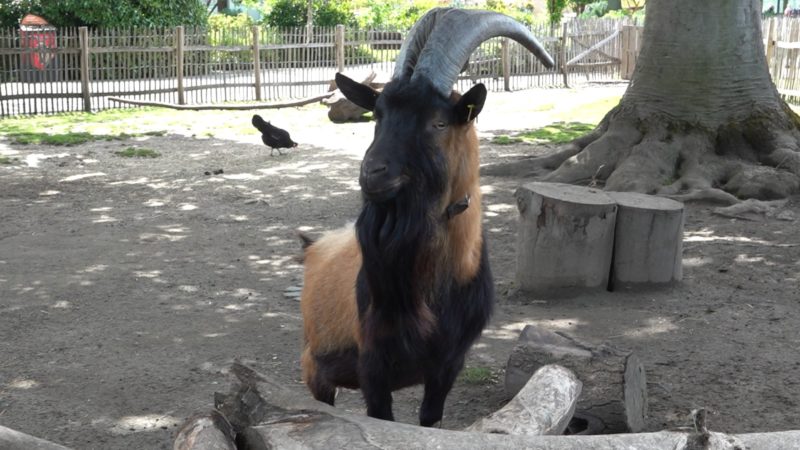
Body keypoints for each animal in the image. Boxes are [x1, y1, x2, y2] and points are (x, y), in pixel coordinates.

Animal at [296, 8, 552, 428]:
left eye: (439, 122)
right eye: (377, 116)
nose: (372, 173)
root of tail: (314, 245)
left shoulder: (448, 365)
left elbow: (430, 420)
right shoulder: (373, 368)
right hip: (315, 366)